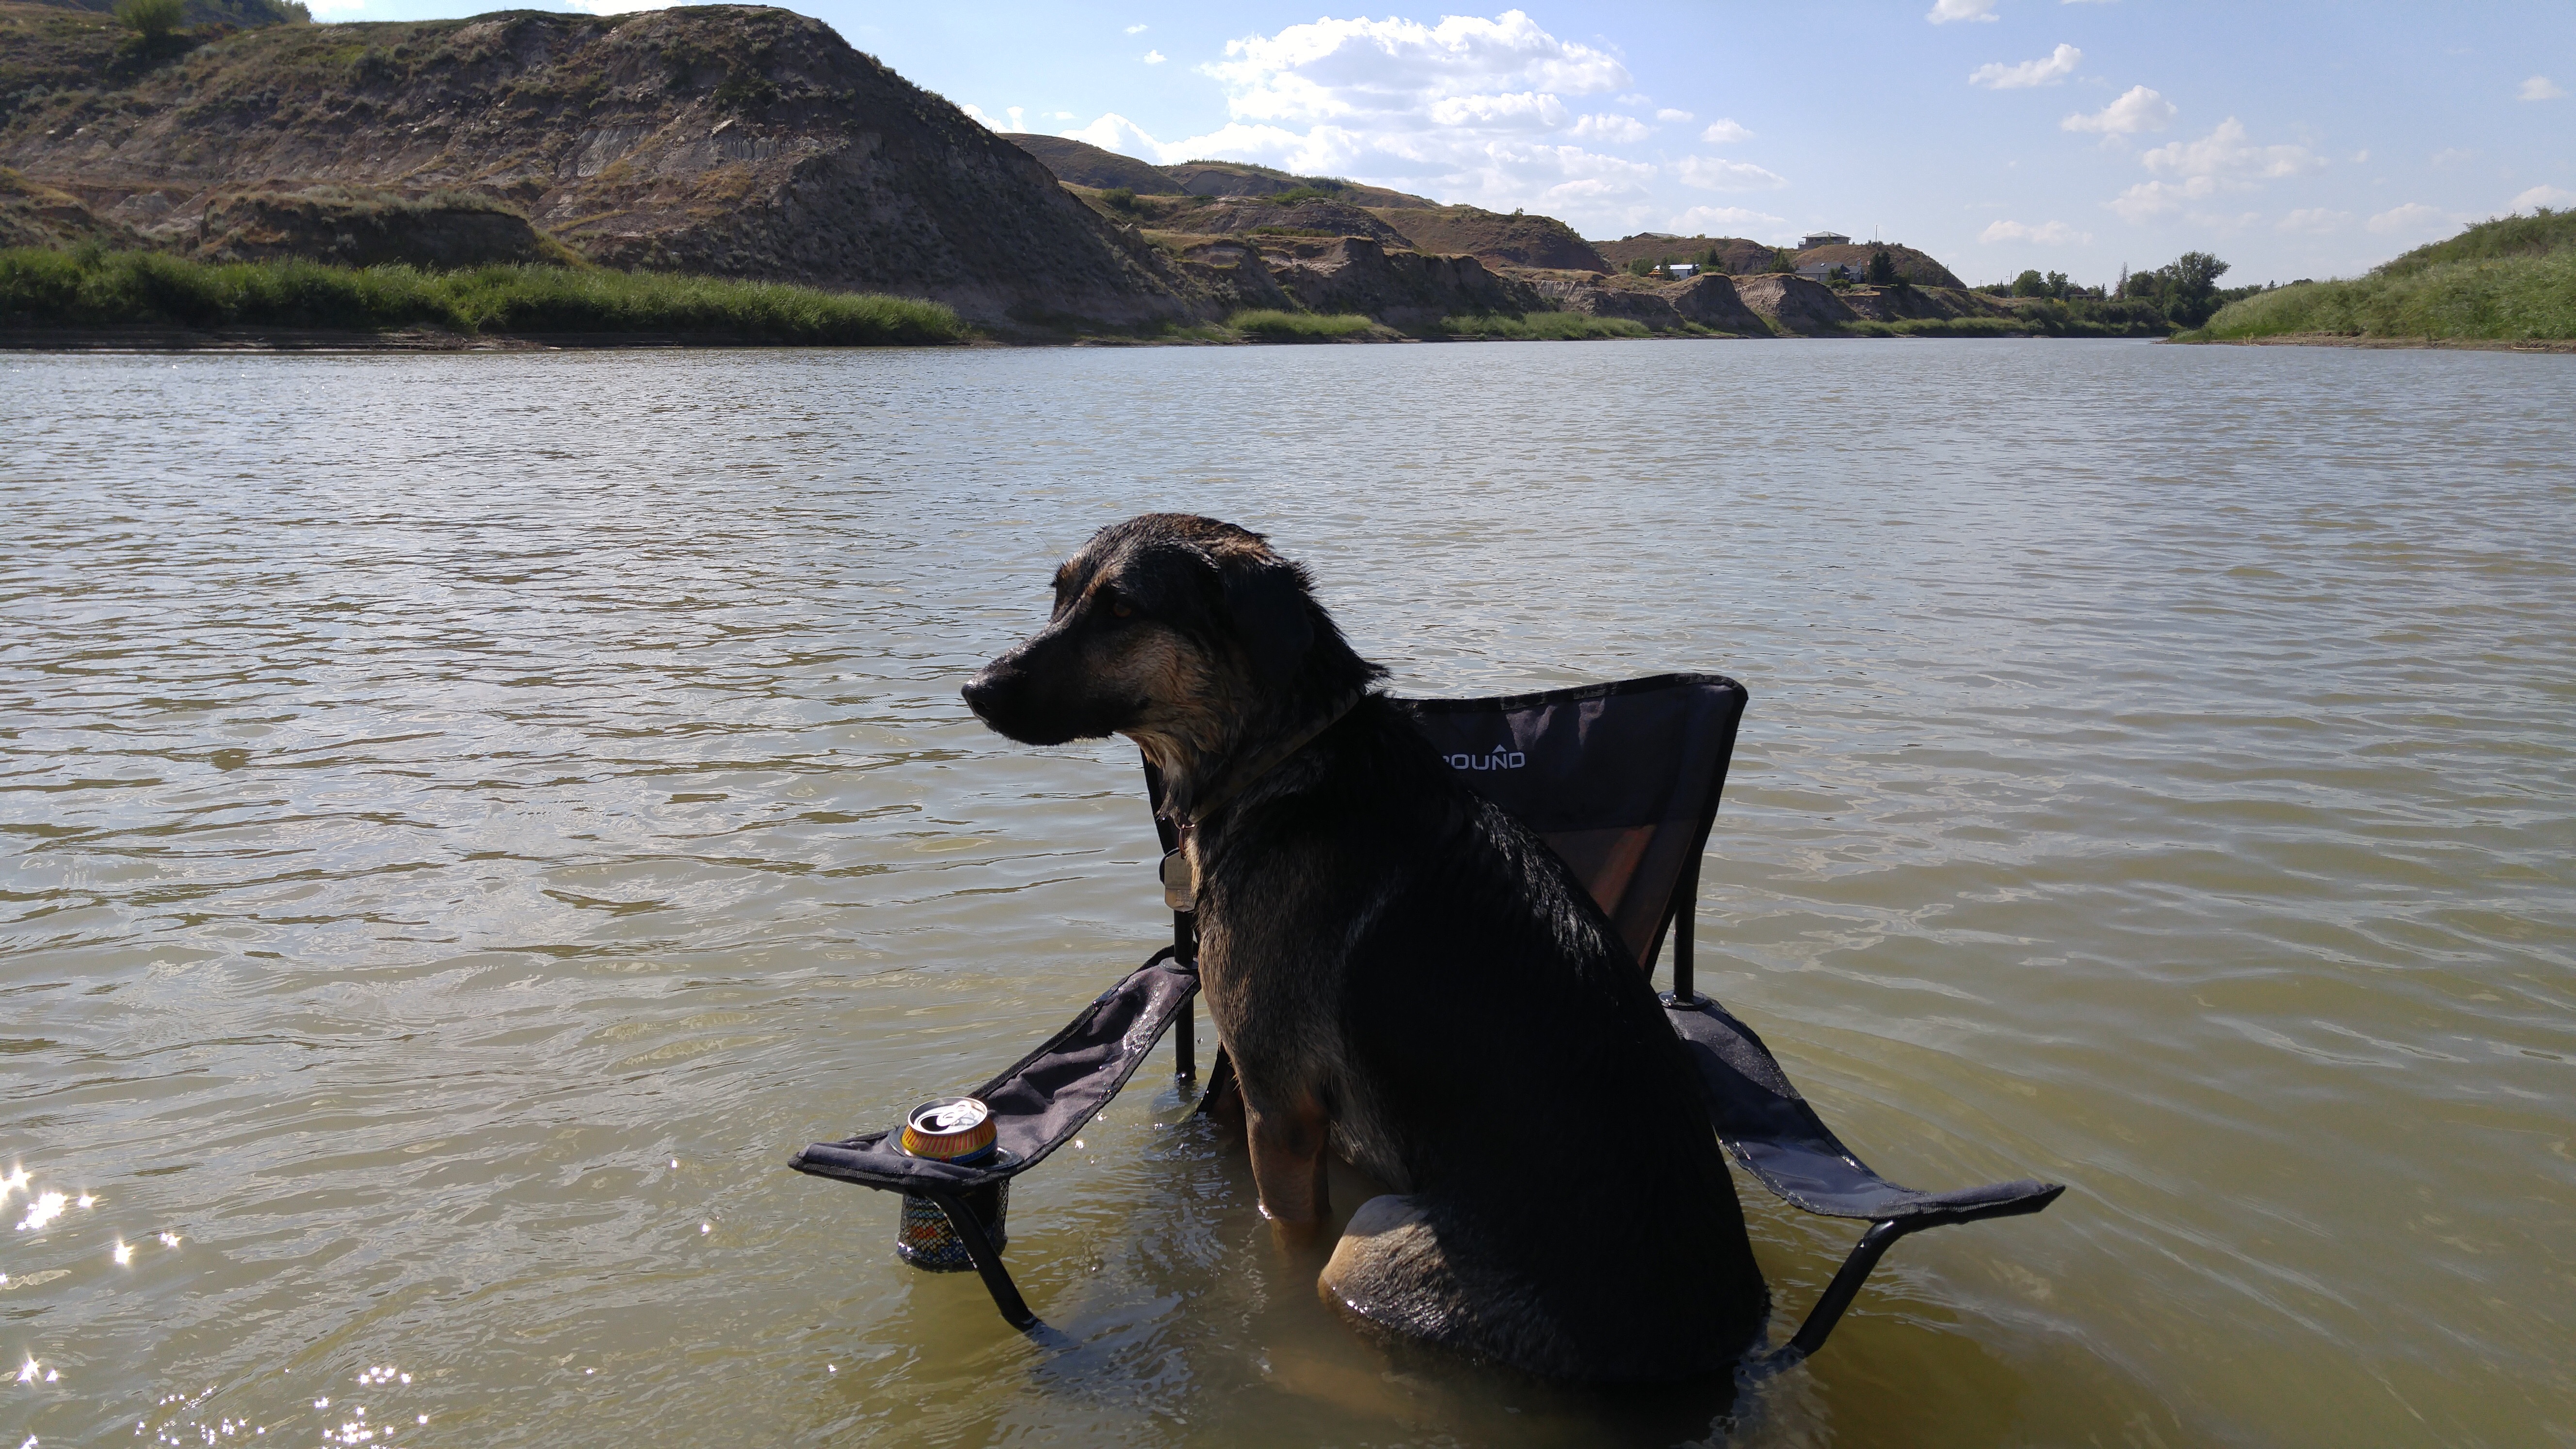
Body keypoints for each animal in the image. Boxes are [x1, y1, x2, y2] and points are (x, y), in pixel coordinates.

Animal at [968, 510, 1772, 1371]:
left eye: (1120, 609)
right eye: (1060, 596)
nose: (975, 688)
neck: (1280, 759)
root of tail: (1715, 1360)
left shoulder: (1279, 1112)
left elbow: (1284, 1243)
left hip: (1367, 1245)